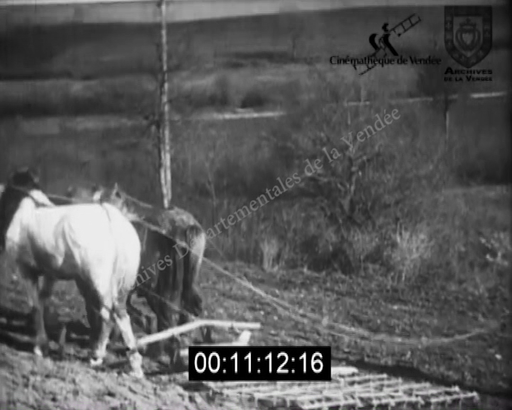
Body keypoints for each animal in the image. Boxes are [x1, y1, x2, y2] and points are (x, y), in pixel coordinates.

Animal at [0, 168, 144, 376]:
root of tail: (112, 218)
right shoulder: (50, 274)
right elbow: (42, 301)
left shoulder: (25, 270)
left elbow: (35, 305)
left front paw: (40, 346)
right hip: (123, 288)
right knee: (123, 316)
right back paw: (135, 363)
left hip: (99, 282)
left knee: (108, 316)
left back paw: (97, 355)